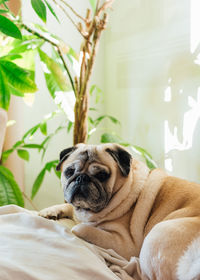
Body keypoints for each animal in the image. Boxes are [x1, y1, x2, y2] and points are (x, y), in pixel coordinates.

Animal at [39, 143, 200, 278]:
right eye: (69, 172)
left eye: (102, 175)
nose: (82, 178)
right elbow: (69, 207)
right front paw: (50, 211)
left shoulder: (124, 244)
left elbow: (81, 228)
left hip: (156, 235)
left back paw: (122, 268)